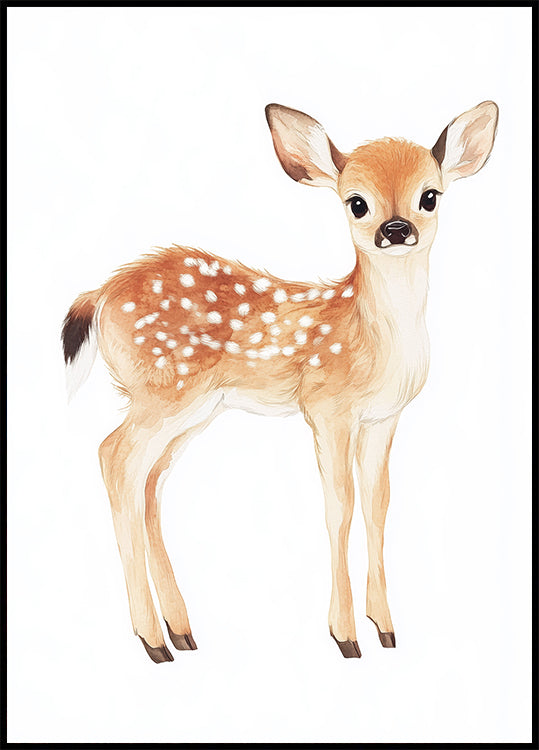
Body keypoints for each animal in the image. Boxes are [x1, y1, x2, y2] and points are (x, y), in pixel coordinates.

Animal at [62, 101, 498, 663]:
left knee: (150, 482)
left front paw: (386, 629)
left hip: (193, 409)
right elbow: (340, 507)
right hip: (163, 389)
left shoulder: (383, 418)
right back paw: (153, 640)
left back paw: (181, 631)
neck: (372, 338)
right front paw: (345, 635)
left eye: (430, 195)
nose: (397, 228)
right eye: (357, 203)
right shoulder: (327, 408)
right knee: (114, 457)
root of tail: (100, 293)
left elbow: (378, 506)